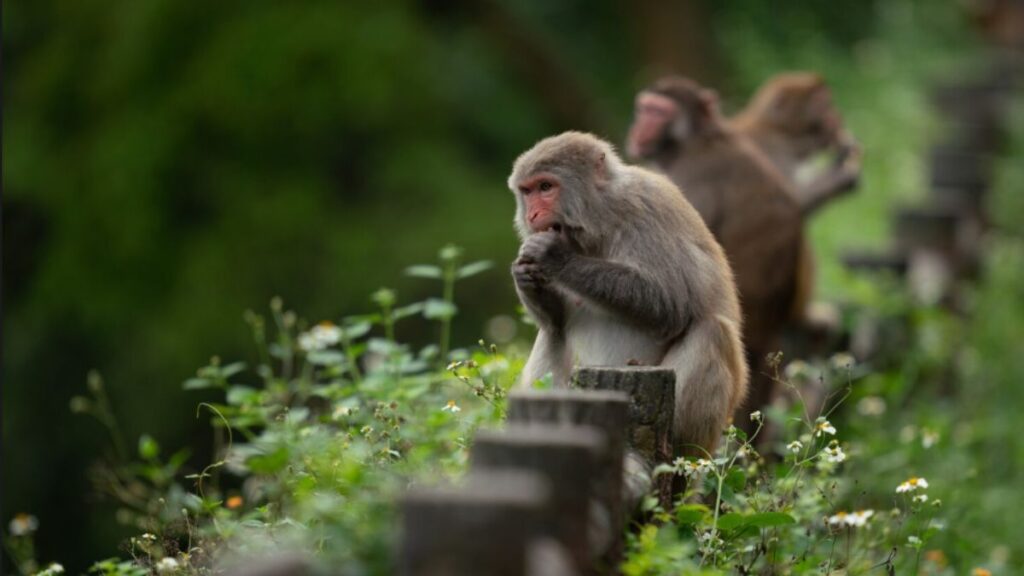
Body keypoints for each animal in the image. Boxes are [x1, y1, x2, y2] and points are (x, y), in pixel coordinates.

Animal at [508, 131, 748, 455]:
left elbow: (670, 304)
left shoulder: (645, 208)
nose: (532, 214)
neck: (599, 221)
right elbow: (555, 323)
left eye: (546, 187)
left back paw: (676, 449)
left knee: (712, 330)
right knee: (552, 334)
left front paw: (555, 257)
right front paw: (524, 276)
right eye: (527, 191)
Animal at [732, 72, 862, 217]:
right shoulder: (772, 148)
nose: (837, 117)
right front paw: (841, 174)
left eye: (829, 103)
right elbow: (791, 201)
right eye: (824, 105)